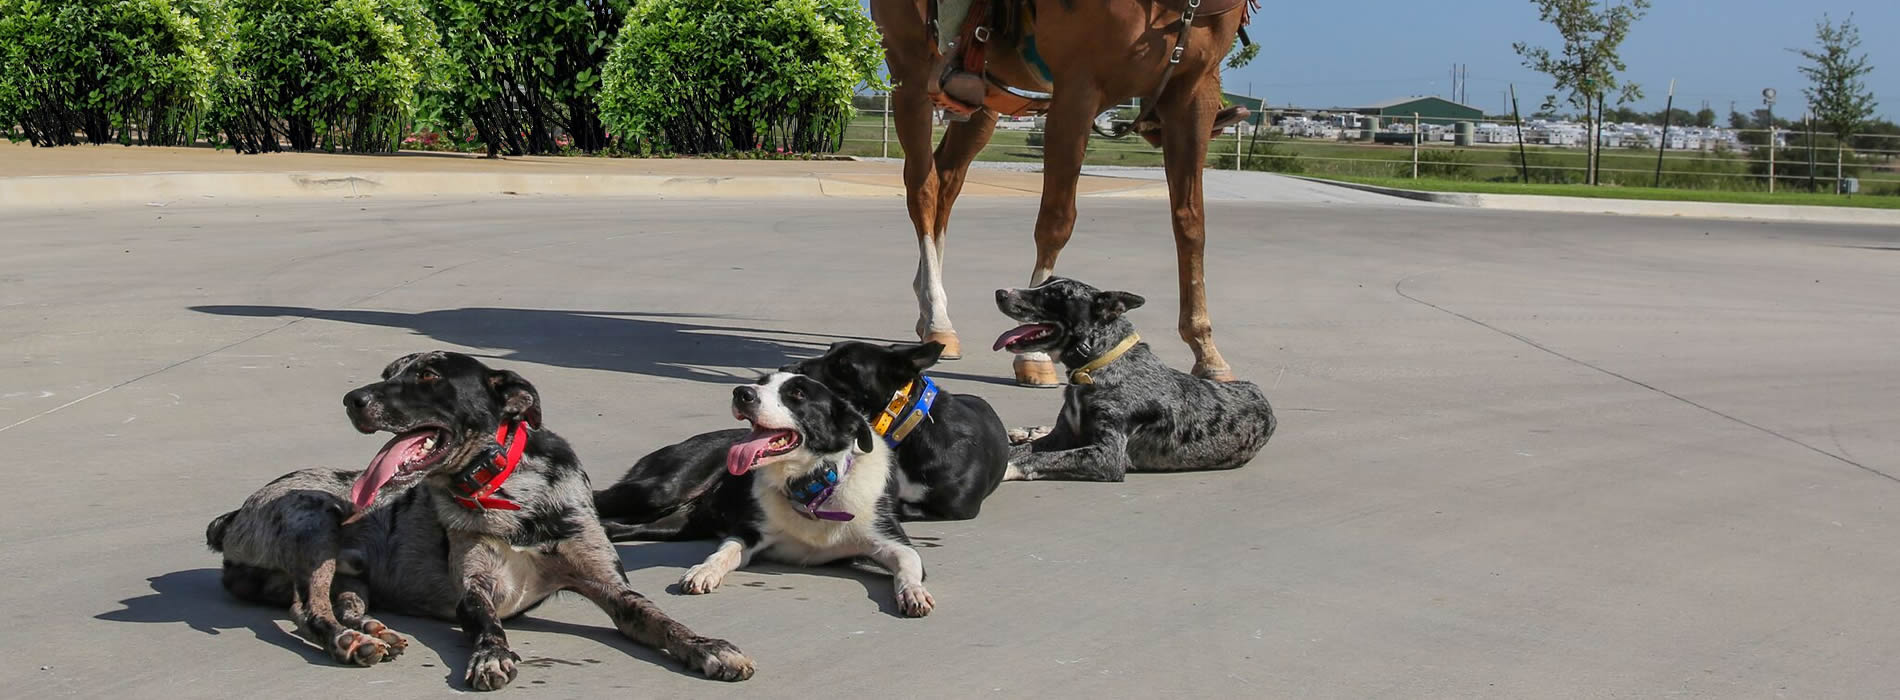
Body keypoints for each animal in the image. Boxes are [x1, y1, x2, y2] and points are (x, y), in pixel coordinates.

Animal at [200, 351, 748, 692]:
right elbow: (487, 624)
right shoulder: (474, 589)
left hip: (350, 573)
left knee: (342, 604)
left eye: (428, 376)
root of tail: (231, 518)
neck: (510, 494)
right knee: (309, 610)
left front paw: (709, 647)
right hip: (316, 518)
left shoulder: (611, 586)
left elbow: (661, 620)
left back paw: (373, 628)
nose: (352, 399)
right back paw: (349, 641)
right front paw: (491, 655)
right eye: (387, 373)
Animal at [596, 338, 1018, 528]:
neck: (905, 431)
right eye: (828, 349)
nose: (789, 365)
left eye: (844, 364)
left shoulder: (955, 508)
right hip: (662, 484)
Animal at [995, 277, 1276, 481]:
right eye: (1045, 284)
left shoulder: (1107, 457)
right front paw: (1019, 444)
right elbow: (1023, 449)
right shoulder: (1061, 437)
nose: (1000, 292)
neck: (1097, 366)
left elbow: (1037, 458)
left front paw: (1006, 467)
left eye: (1055, 295)